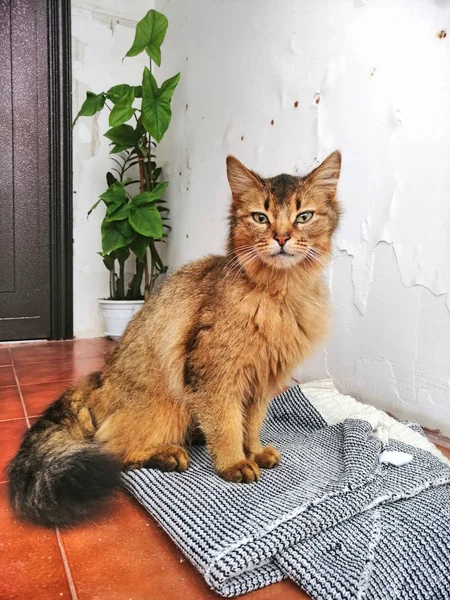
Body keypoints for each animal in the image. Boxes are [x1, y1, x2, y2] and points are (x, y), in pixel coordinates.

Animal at [7, 150, 342, 524]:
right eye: (260, 217)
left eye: (303, 216)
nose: (281, 238)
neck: (279, 295)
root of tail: (97, 380)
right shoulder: (213, 375)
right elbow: (227, 424)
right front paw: (234, 463)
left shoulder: (262, 381)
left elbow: (252, 424)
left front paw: (254, 451)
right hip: (168, 404)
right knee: (108, 451)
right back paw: (168, 455)